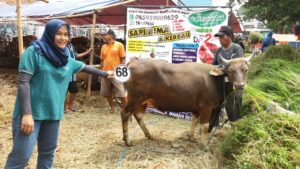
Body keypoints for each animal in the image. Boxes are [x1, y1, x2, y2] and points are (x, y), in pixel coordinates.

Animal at [120, 50, 258, 147]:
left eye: (245, 69)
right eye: (230, 70)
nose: (240, 85)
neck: (215, 81)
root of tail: (133, 62)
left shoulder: (201, 108)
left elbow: (194, 120)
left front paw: (191, 137)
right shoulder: (206, 107)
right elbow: (205, 126)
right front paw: (204, 145)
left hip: (143, 101)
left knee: (138, 115)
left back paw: (149, 135)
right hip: (134, 98)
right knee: (125, 113)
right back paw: (127, 141)